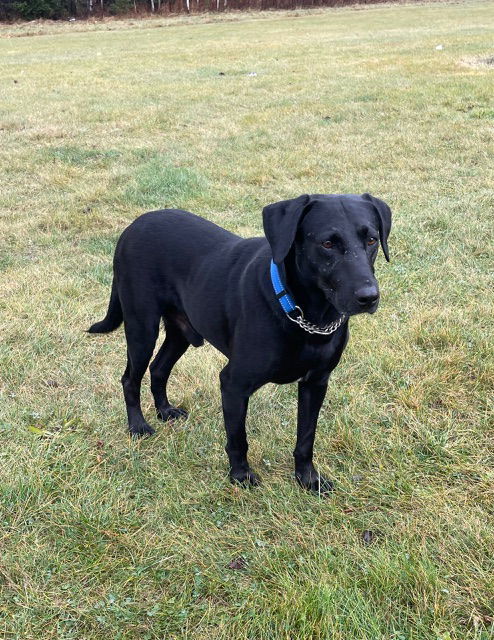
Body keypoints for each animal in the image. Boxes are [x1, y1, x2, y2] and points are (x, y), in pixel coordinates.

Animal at [88, 192, 390, 492]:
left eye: (371, 239)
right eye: (327, 243)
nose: (368, 297)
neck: (305, 314)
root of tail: (134, 226)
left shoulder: (316, 383)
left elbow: (306, 437)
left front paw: (307, 479)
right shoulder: (234, 384)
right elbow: (238, 438)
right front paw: (241, 476)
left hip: (180, 332)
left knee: (159, 368)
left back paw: (165, 410)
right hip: (142, 327)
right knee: (130, 379)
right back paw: (138, 426)